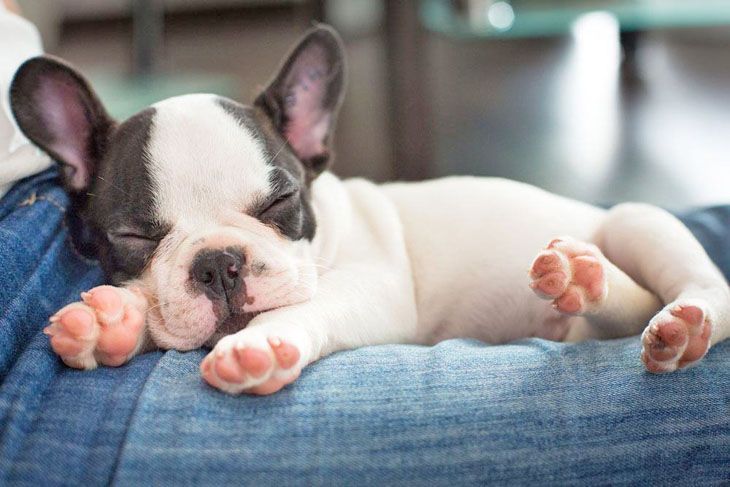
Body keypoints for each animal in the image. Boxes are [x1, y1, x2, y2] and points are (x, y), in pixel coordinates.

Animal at [11, 24, 728, 394]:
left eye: (281, 200)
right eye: (132, 236)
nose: (218, 264)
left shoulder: (374, 288)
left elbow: (304, 306)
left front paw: (260, 342)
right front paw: (111, 323)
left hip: (637, 221)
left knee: (693, 291)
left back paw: (671, 321)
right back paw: (581, 277)